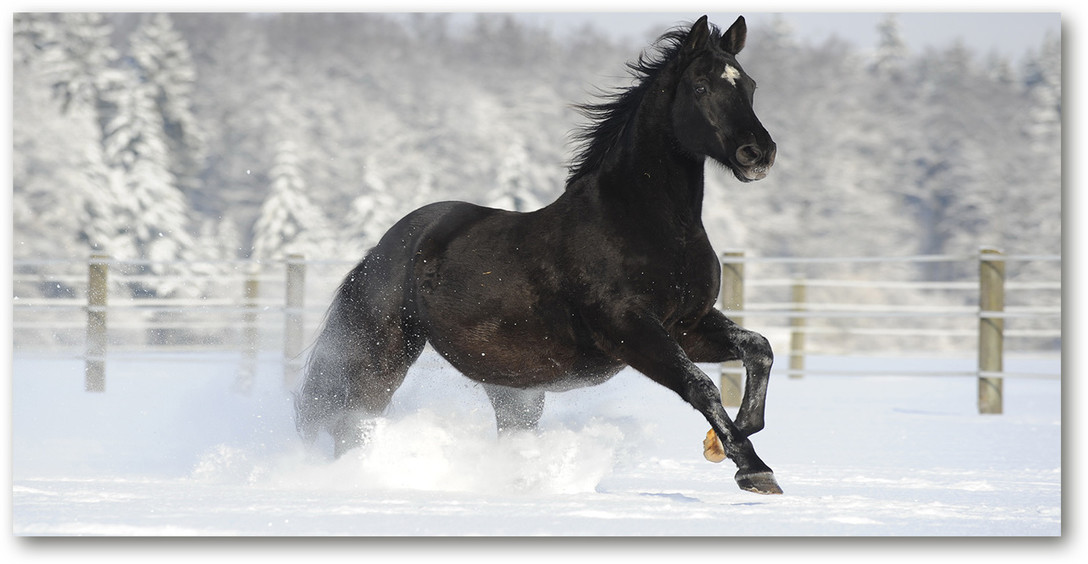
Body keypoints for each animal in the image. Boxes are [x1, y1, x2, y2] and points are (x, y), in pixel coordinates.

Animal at [295, 15, 783, 498]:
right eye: (701, 86)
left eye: (750, 85)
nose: (758, 153)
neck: (644, 223)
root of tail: (385, 247)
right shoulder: (630, 330)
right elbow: (701, 386)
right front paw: (753, 470)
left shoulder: (686, 325)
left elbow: (759, 348)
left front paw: (726, 441)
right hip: (383, 353)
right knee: (351, 420)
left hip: (513, 388)